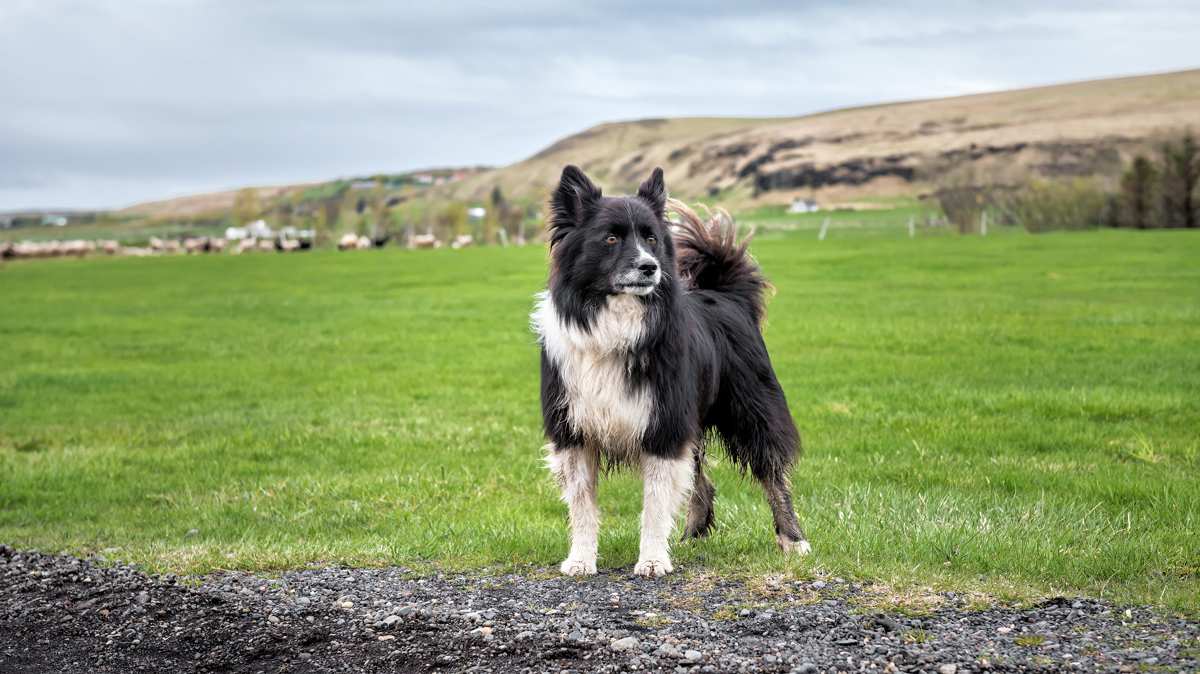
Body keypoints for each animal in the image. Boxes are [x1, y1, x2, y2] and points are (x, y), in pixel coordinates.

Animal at [532, 165, 806, 575]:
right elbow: (582, 506)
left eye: (651, 238)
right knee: (701, 481)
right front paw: (580, 560)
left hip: (751, 411)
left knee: (773, 474)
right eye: (610, 238)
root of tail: (728, 294)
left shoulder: (665, 425)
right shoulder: (574, 431)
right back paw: (692, 537)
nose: (650, 267)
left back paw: (793, 539)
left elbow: (655, 505)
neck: (615, 323)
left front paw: (652, 560)